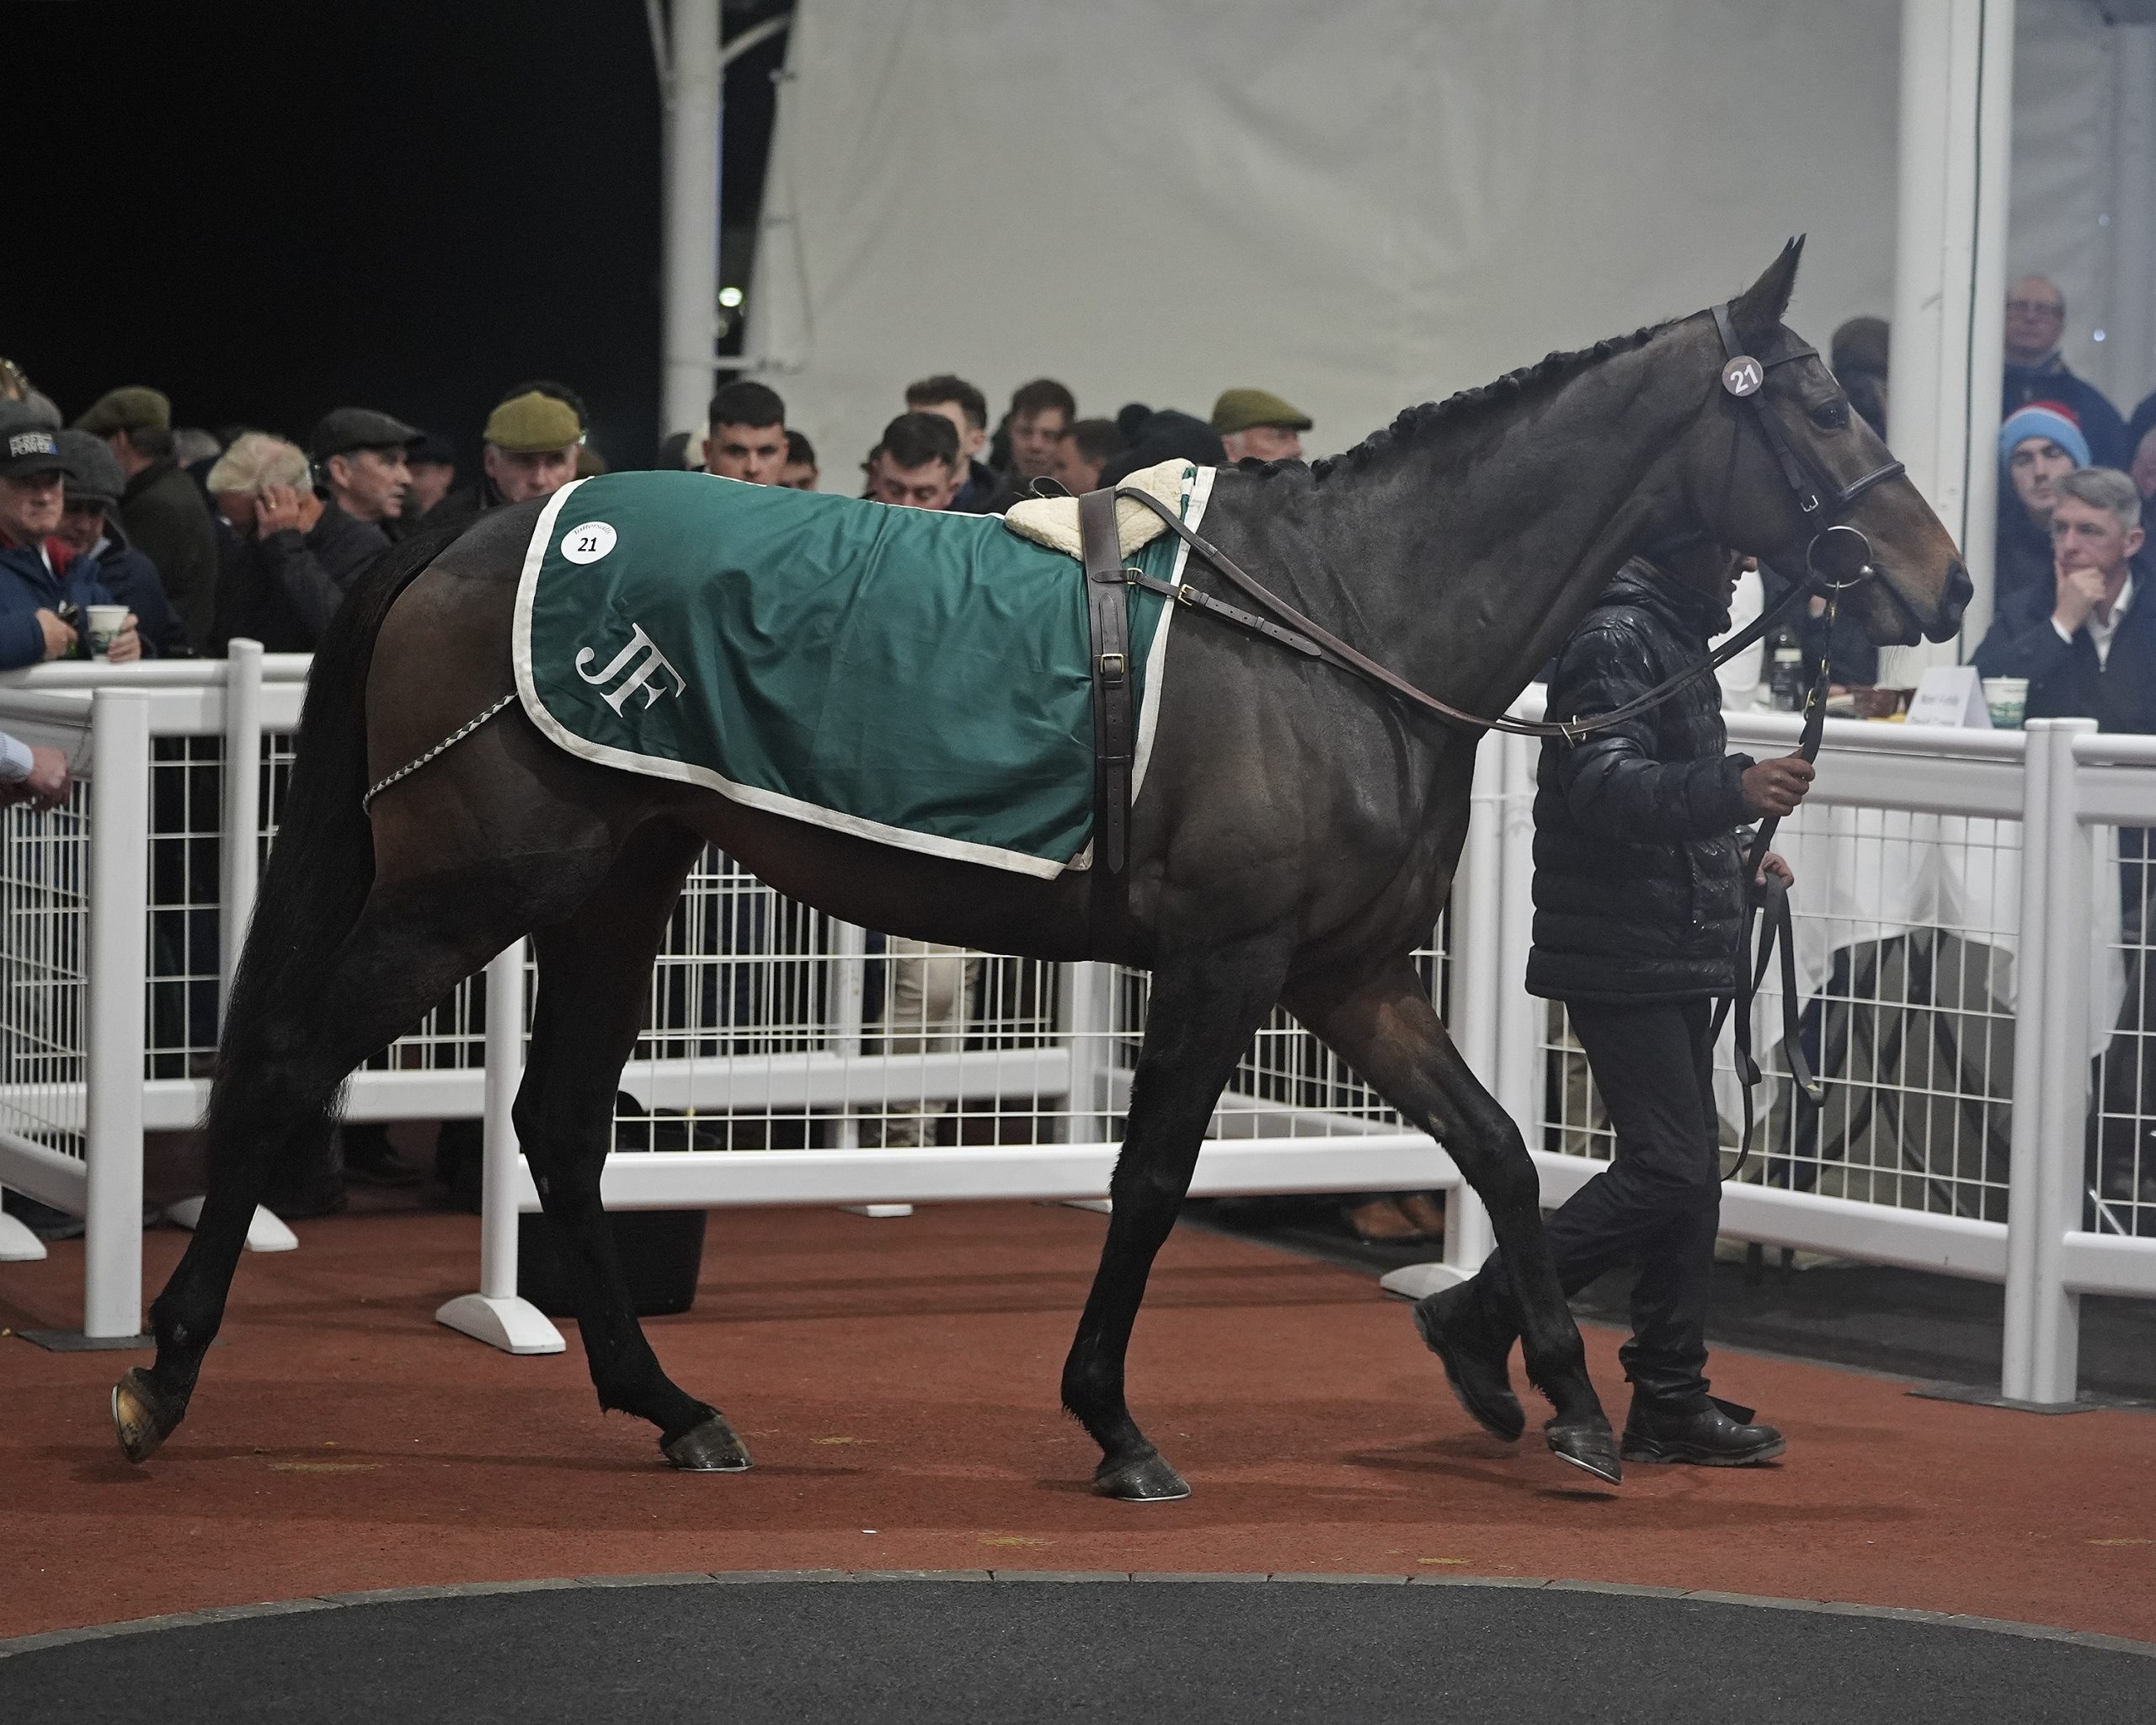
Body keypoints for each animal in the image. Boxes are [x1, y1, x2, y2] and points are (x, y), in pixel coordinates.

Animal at [113, 240, 1967, 1497]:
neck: (1344, 622)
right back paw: (159, 1379)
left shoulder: (1348, 975)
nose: (1942, 580)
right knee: (285, 1067)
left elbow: (1503, 1150)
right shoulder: (1227, 963)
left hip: (618, 881)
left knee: (560, 1126)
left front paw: (1554, 1397)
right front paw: (1115, 1419)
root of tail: (464, 538)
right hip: (464, 888)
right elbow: (1149, 1183)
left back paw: (674, 1407)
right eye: (1817, 402)